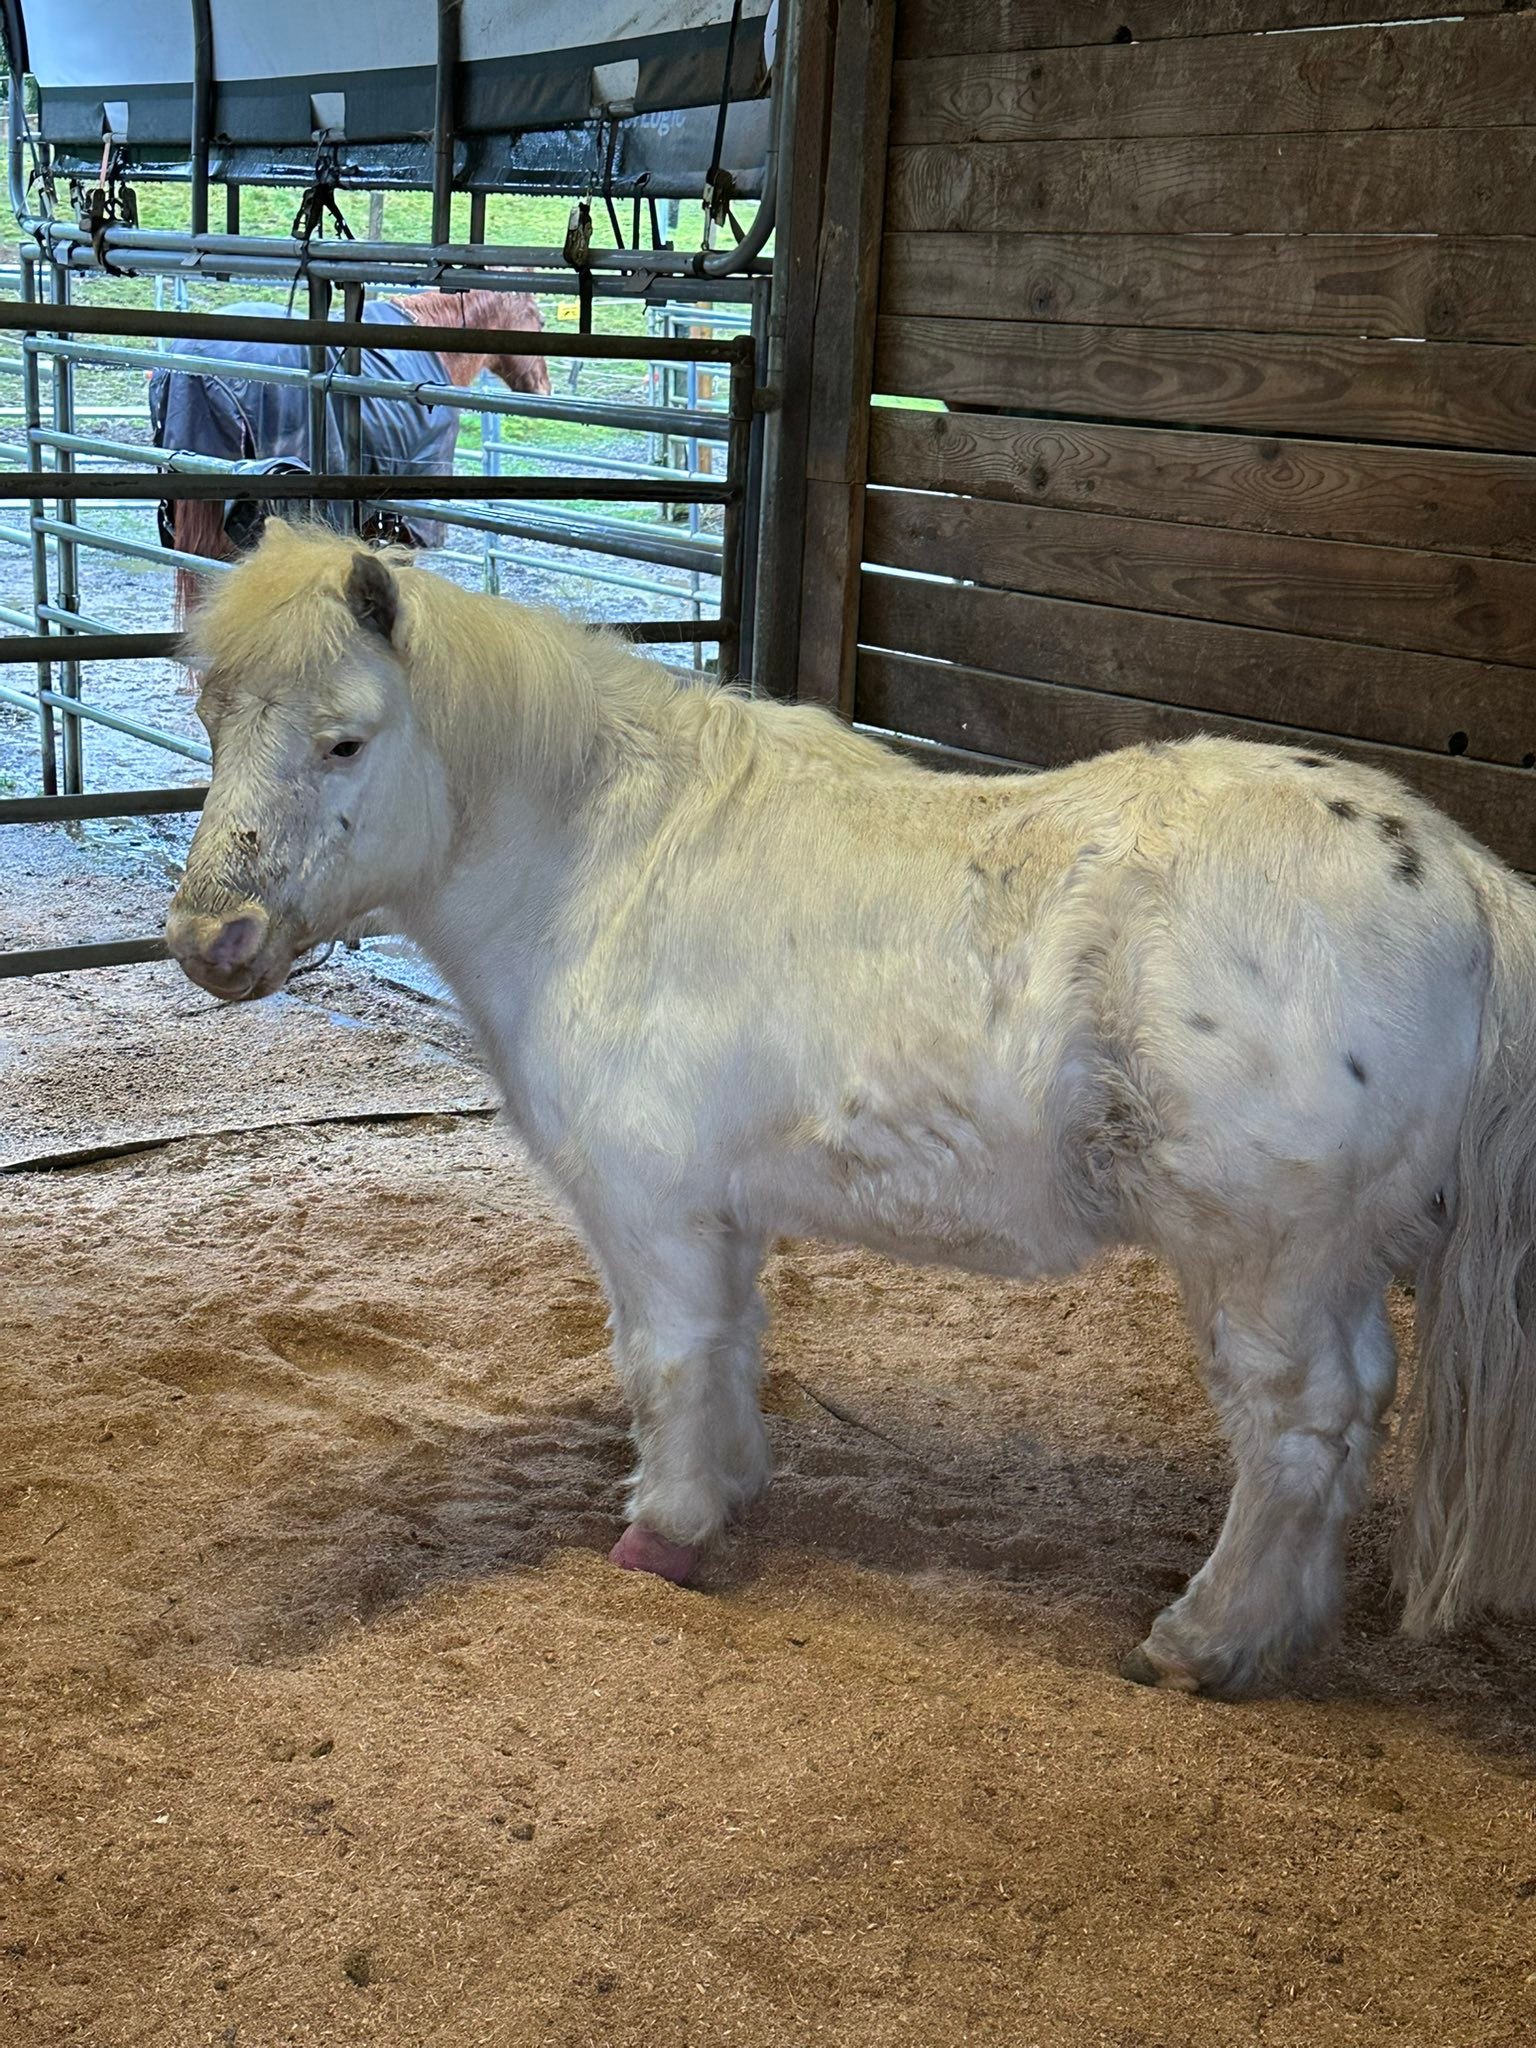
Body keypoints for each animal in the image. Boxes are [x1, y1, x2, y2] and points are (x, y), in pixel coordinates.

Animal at [162, 520, 1536, 1697]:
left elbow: (666, 1355)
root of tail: (1461, 878)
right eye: (212, 716)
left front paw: (664, 1531)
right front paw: (728, 1488)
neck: (604, 861)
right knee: (1347, 1417)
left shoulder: (650, 1210)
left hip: (1263, 1259)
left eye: (345, 740)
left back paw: (1202, 1640)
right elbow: (729, 1348)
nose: (209, 943)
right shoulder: (719, 1212)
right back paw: (1274, 1635)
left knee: (1298, 1426)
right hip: (1331, 1257)